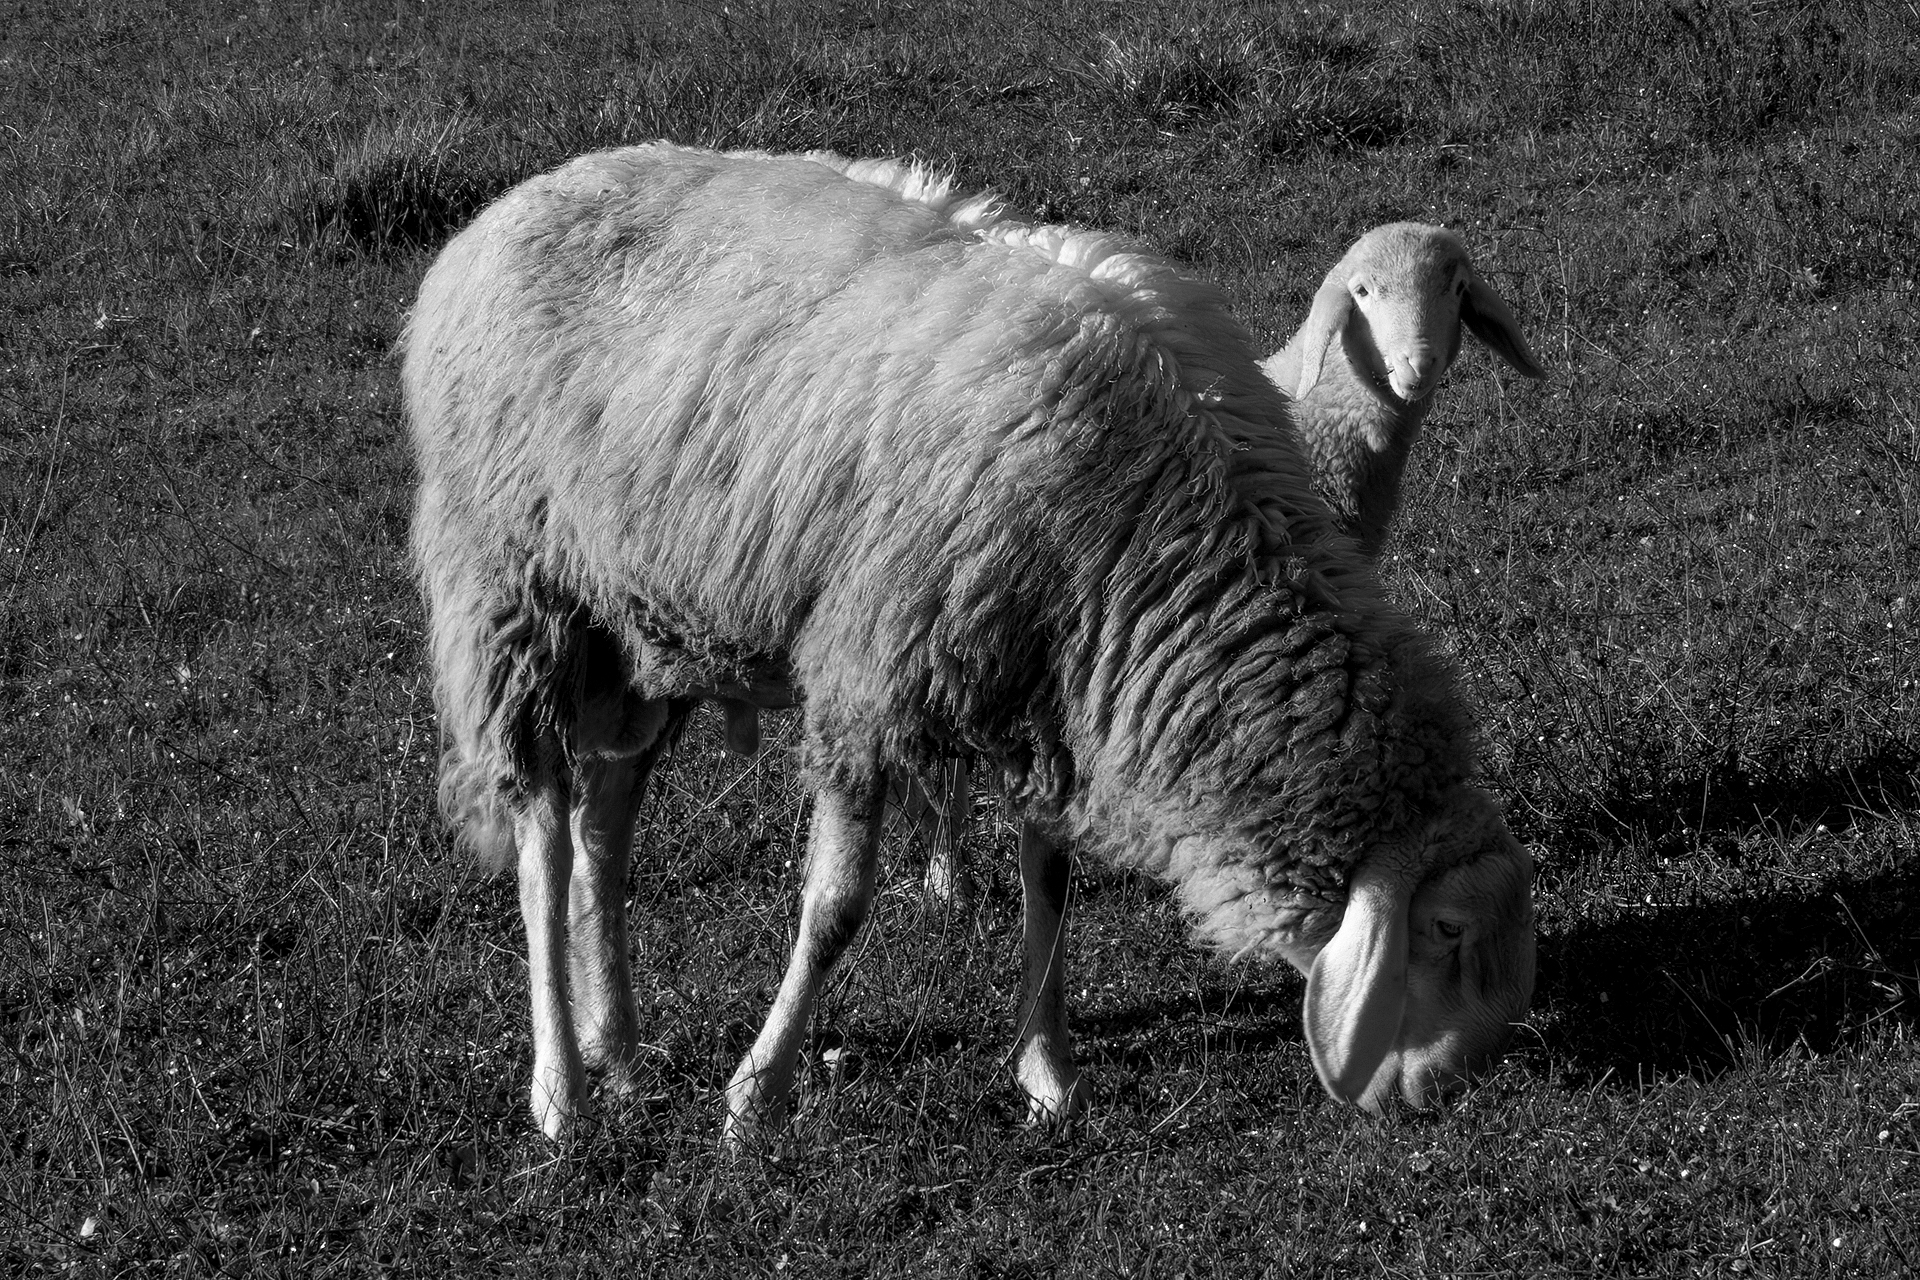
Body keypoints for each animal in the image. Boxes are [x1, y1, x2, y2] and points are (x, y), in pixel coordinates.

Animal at [402, 142, 1538, 1144]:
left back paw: (621, 1049)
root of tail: (509, 207)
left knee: (605, 827)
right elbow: (836, 907)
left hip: (643, 624)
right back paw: (561, 1092)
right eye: (1443, 933)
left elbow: (1053, 883)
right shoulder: (869, 671)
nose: (1441, 1095)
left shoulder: (1053, 684)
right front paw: (758, 1094)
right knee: (544, 838)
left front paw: (1047, 1073)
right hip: (514, 591)